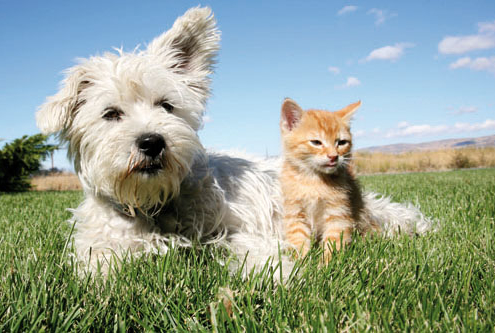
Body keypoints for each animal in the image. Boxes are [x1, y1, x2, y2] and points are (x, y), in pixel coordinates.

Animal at [280, 97, 378, 260]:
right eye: (316, 142)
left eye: (342, 142)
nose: (333, 156)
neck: (313, 180)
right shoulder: (295, 212)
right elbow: (298, 239)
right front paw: (301, 262)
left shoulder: (338, 213)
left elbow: (334, 241)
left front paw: (327, 263)